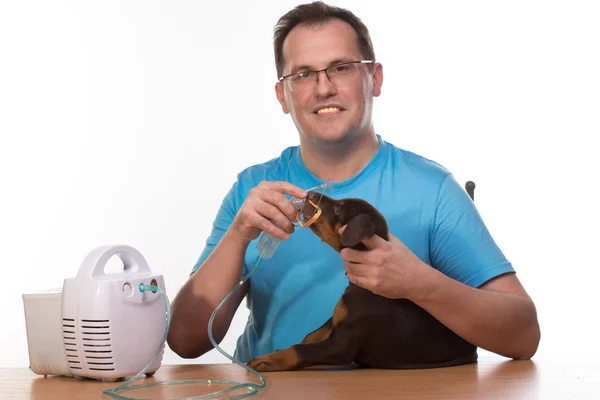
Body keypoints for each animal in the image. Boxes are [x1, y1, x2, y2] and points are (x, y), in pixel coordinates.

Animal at [245, 191, 478, 372]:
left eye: (338, 208)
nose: (309, 194)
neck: (364, 288)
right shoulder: (336, 323)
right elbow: (310, 336)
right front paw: (277, 352)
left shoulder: (342, 345)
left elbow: (302, 349)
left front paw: (271, 360)